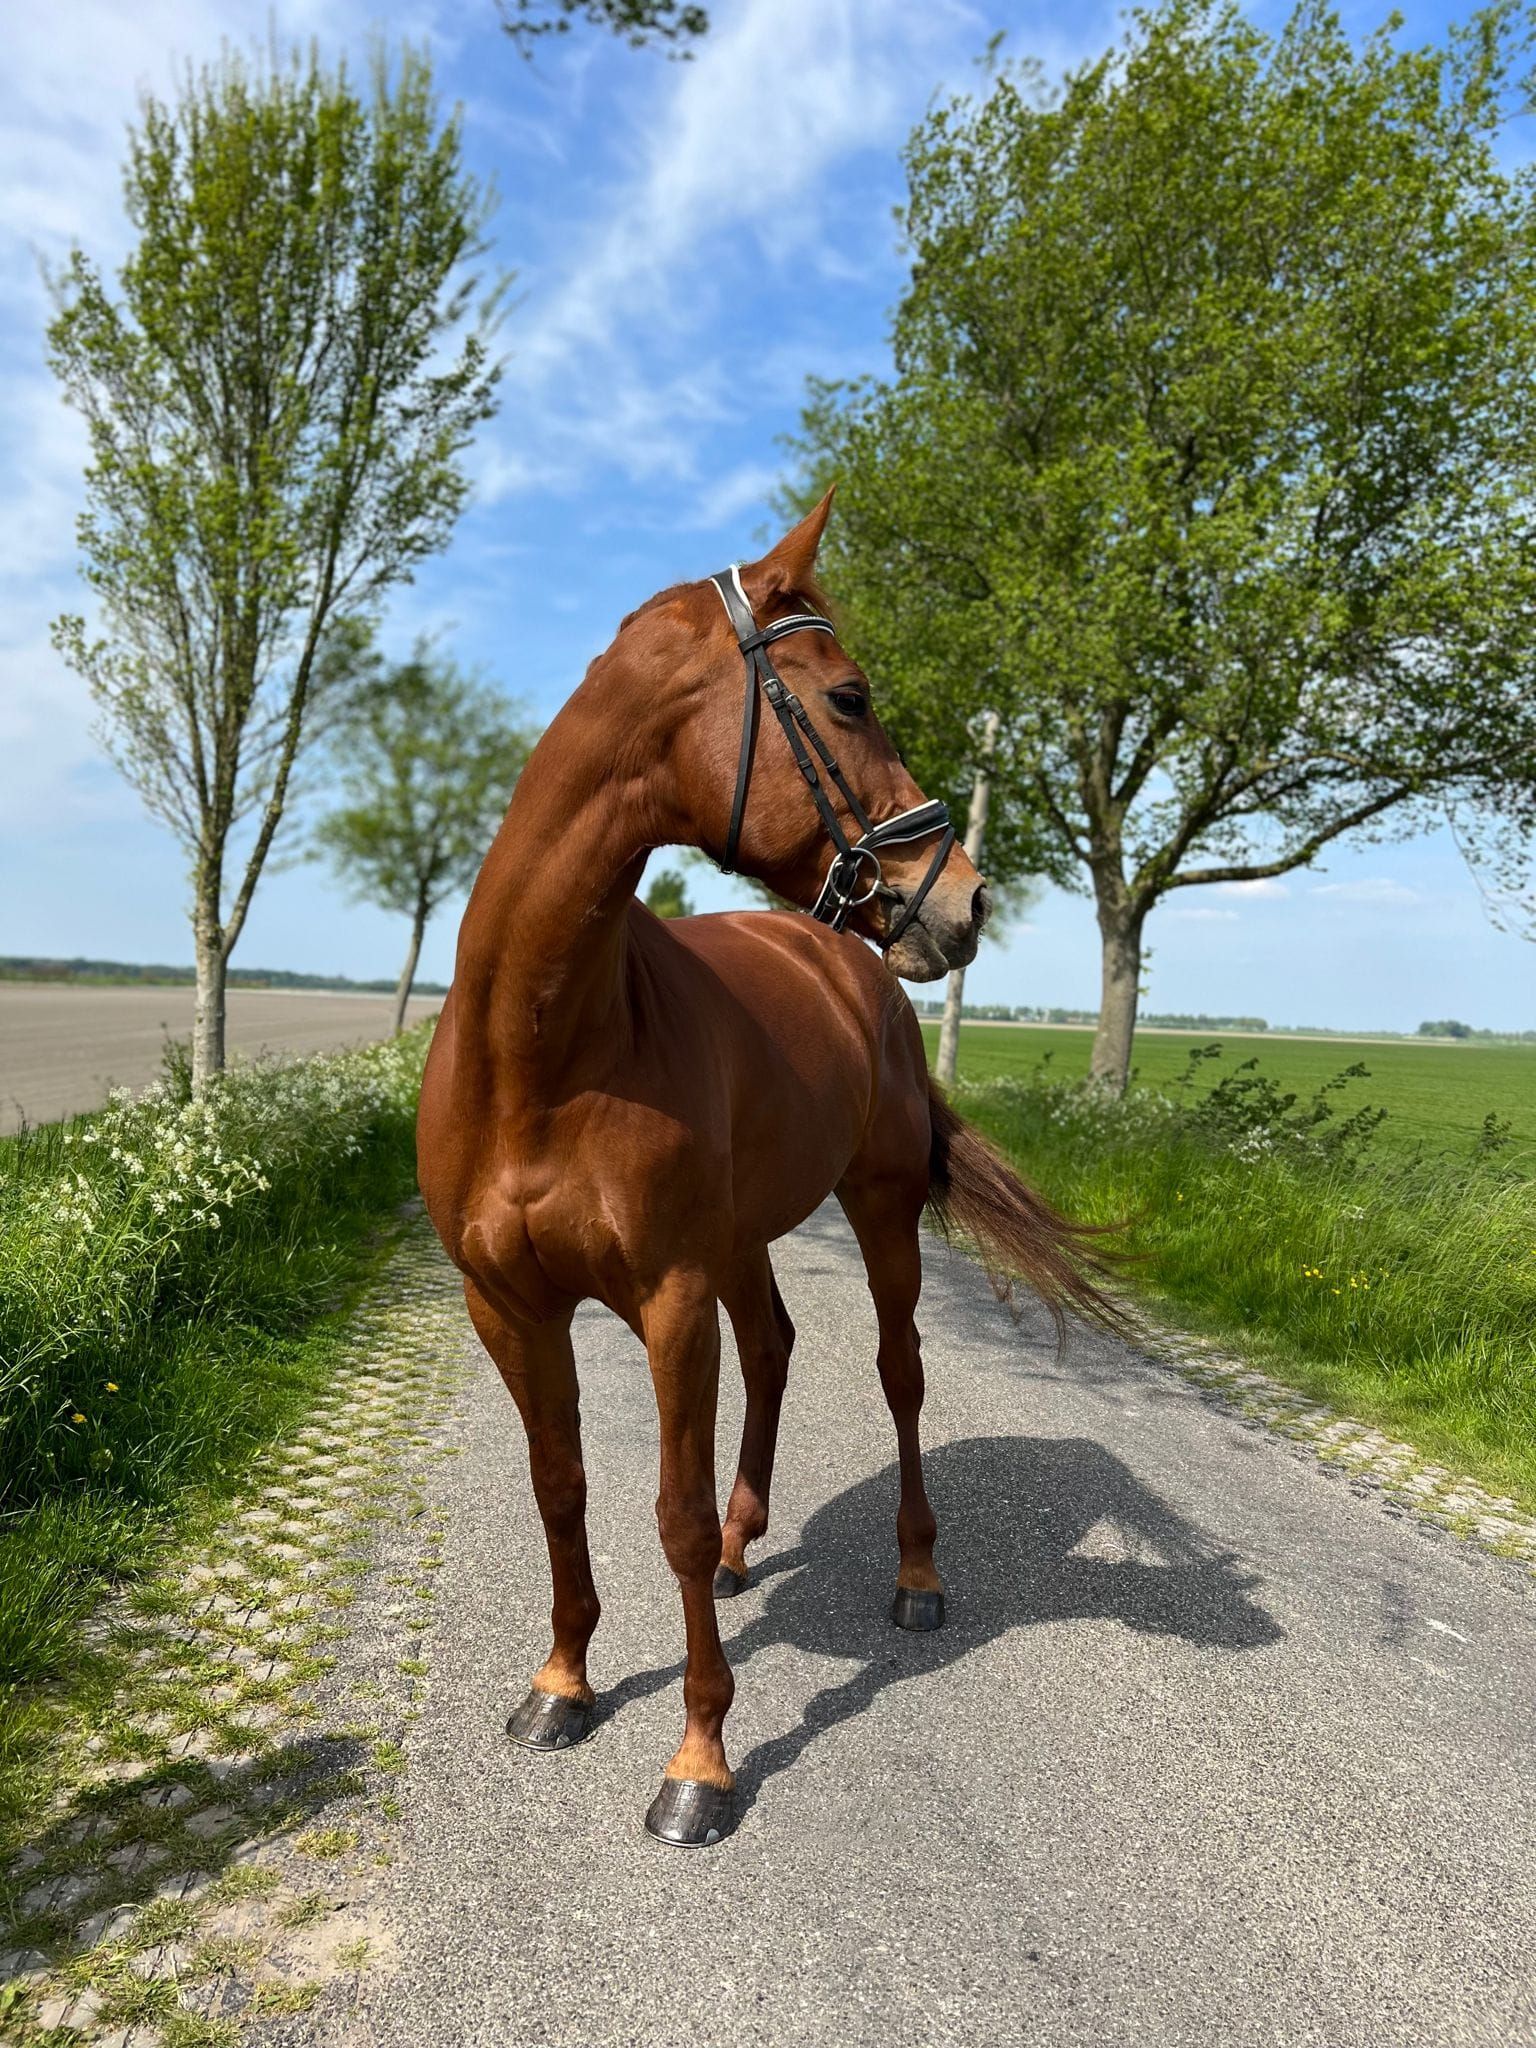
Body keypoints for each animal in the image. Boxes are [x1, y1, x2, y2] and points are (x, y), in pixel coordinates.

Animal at [416, 492, 1112, 1846]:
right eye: (848, 696)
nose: (964, 898)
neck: (542, 1045)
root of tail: (850, 964)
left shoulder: (670, 1298)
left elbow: (671, 1519)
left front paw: (699, 1760)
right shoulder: (507, 1303)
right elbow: (560, 1485)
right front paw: (563, 1683)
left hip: (879, 1213)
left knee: (899, 1374)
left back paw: (915, 1574)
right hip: (743, 1240)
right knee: (779, 1346)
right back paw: (752, 1545)